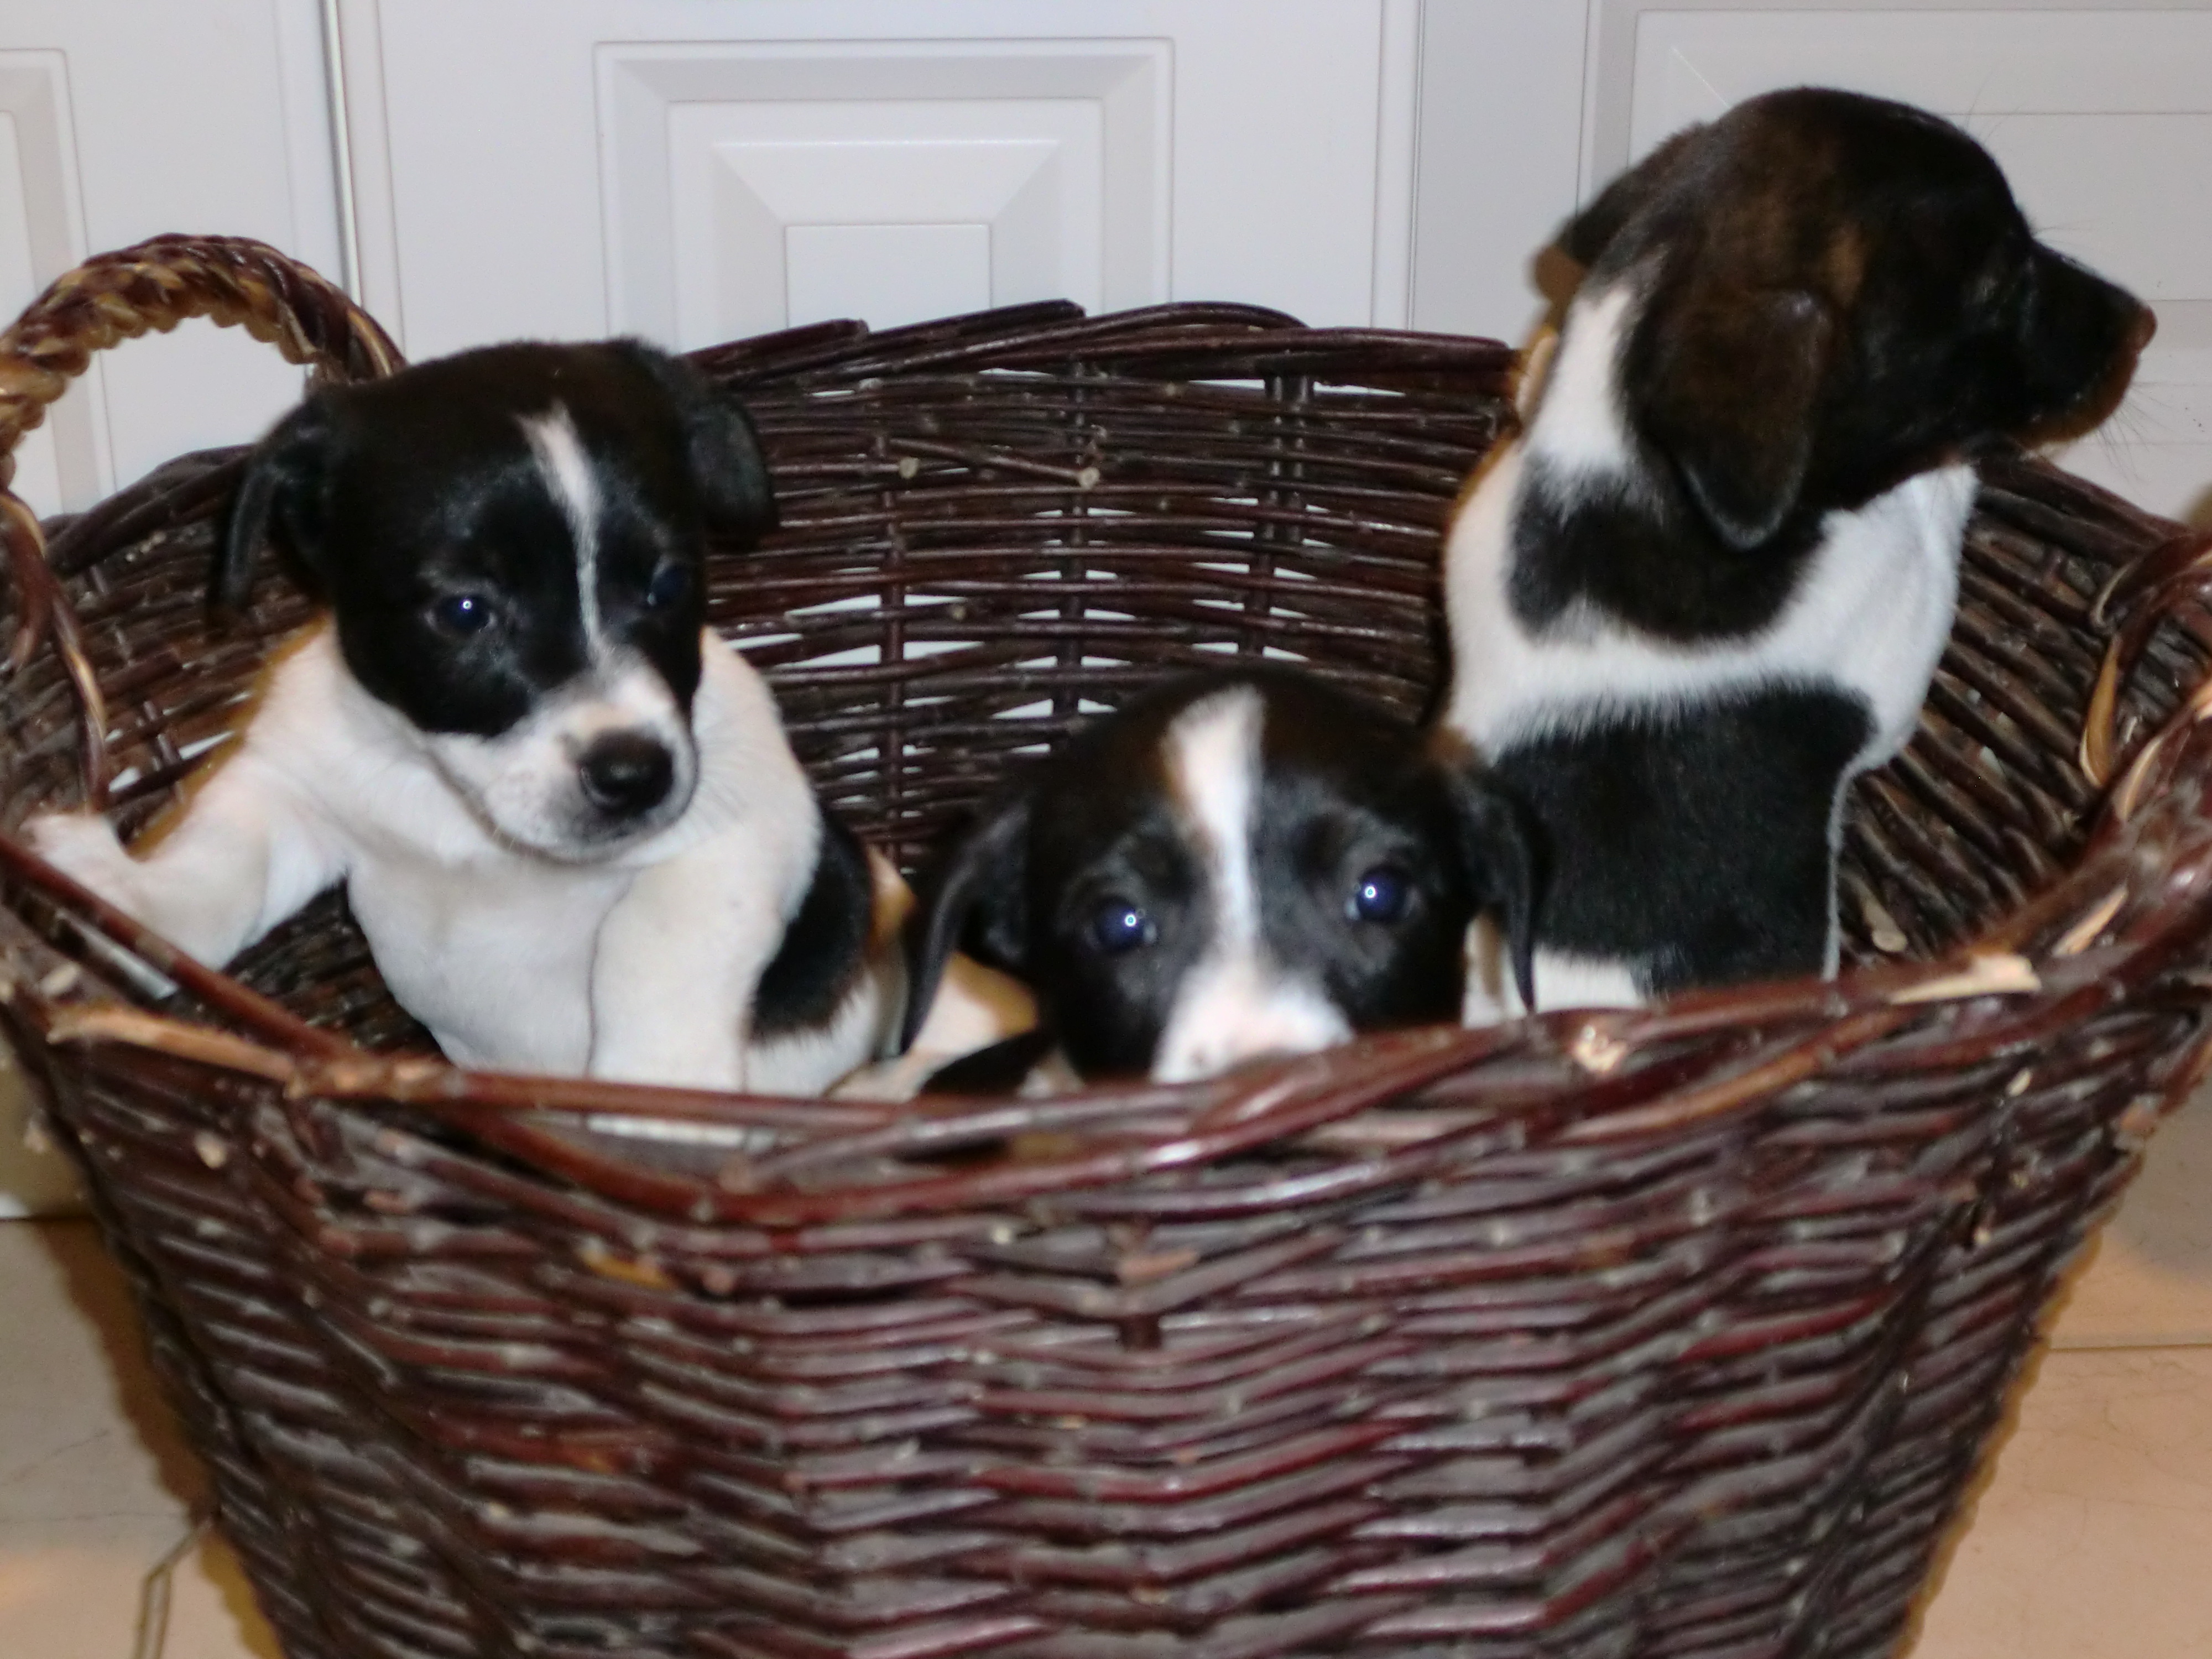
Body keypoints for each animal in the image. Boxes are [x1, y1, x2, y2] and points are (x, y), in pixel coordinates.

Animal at [27, 340, 905, 1094]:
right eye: (464, 611)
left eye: (667, 586)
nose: (635, 776)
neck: (459, 810)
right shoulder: (289, 794)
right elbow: (218, 870)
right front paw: (131, 897)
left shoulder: (743, 828)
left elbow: (652, 944)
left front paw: (652, 1098)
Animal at [1443, 87, 2153, 1018]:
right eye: (2001, 281)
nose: (2146, 325)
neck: (1633, 467)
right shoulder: (1889, 654)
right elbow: (1925, 513)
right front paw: (1948, 477)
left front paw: (1536, 364)